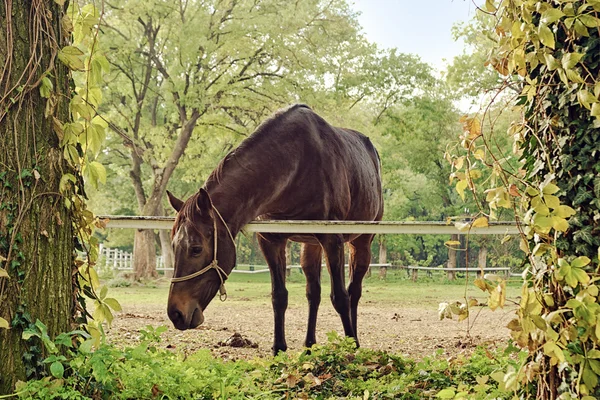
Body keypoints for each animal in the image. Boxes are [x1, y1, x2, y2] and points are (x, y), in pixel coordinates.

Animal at [164, 104, 382, 354]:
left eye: (196, 248)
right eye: (174, 246)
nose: (175, 313)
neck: (297, 162)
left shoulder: (332, 240)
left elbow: (340, 297)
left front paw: (350, 347)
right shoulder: (271, 240)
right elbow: (279, 296)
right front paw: (278, 348)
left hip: (361, 242)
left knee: (353, 291)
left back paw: (354, 341)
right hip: (310, 245)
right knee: (313, 293)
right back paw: (309, 344)